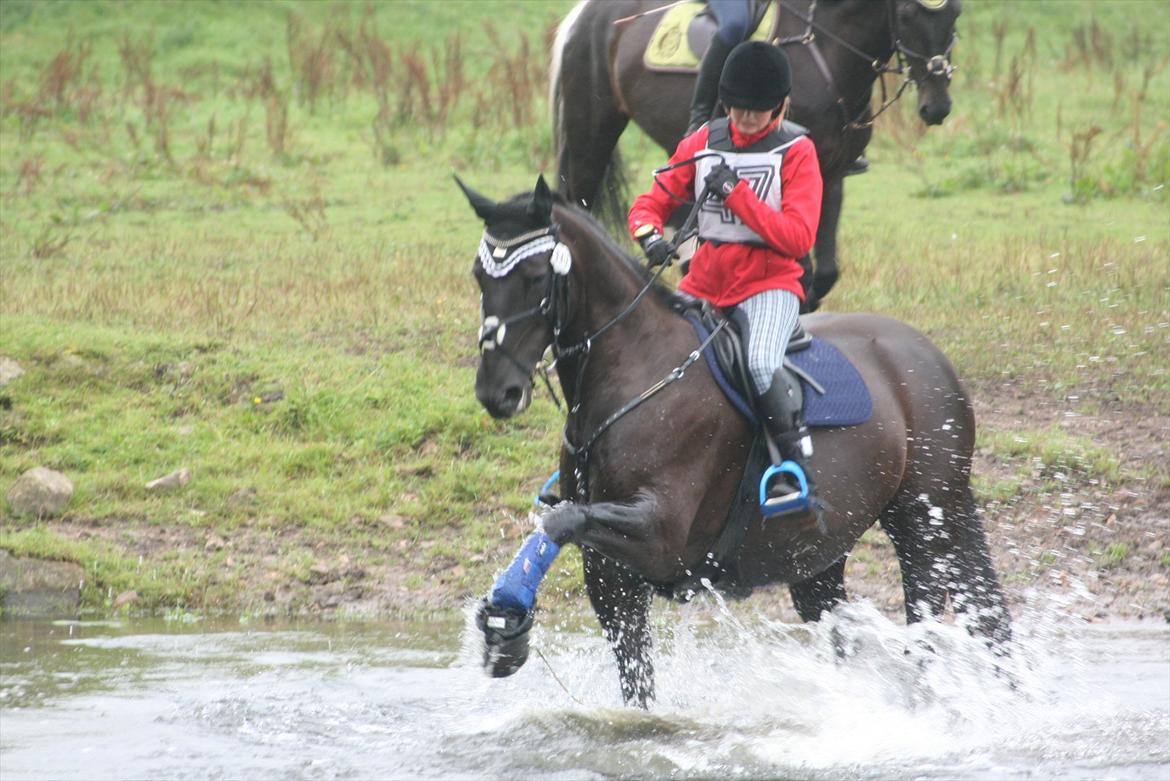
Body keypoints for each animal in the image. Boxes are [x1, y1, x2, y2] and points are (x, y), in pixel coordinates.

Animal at [460, 176, 1010, 706]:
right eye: (479, 276)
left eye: (535, 277)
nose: (497, 392)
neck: (639, 375)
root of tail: (929, 355)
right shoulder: (612, 579)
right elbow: (635, 681)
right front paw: (506, 629)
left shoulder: (660, 539)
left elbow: (559, 520)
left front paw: (508, 617)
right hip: (819, 555)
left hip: (924, 520)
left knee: (928, 627)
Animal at [547, 0, 959, 310]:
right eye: (907, 13)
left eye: (954, 14)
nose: (937, 107)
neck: (826, 50)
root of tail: (584, 15)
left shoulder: (831, 173)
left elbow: (824, 271)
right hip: (592, 132)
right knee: (577, 199)